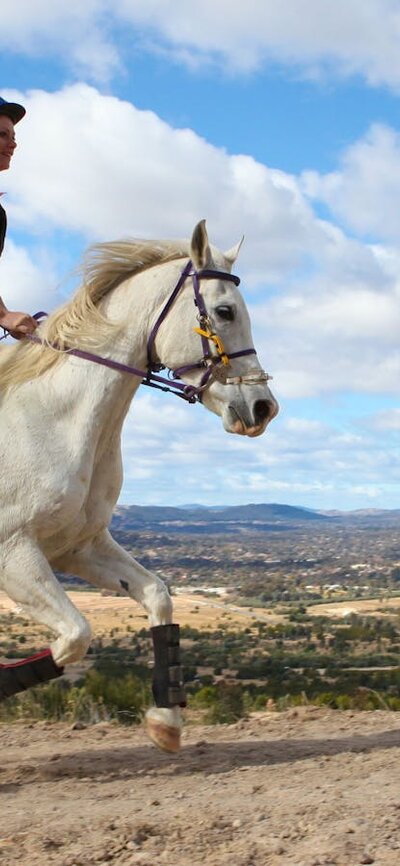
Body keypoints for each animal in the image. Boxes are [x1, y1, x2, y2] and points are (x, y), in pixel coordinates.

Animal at [0, 218, 278, 748]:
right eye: (225, 310)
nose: (262, 408)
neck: (54, 421)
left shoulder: (78, 546)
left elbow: (155, 595)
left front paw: (165, 723)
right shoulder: (13, 550)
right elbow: (75, 637)